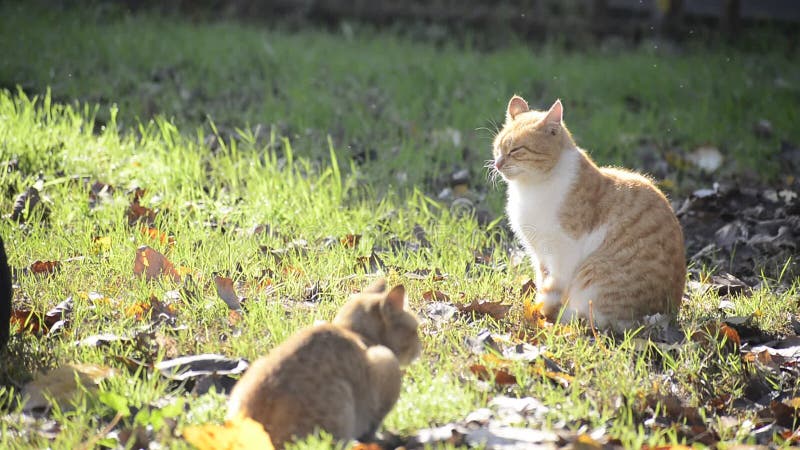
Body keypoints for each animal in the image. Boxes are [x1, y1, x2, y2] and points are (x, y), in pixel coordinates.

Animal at [494, 95, 688, 330]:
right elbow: (543, 281)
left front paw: (543, 314)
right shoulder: (539, 254)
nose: (497, 164)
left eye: (515, 150)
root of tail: (669, 312)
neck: (529, 189)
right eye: (498, 148)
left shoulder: (564, 251)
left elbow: (554, 288)